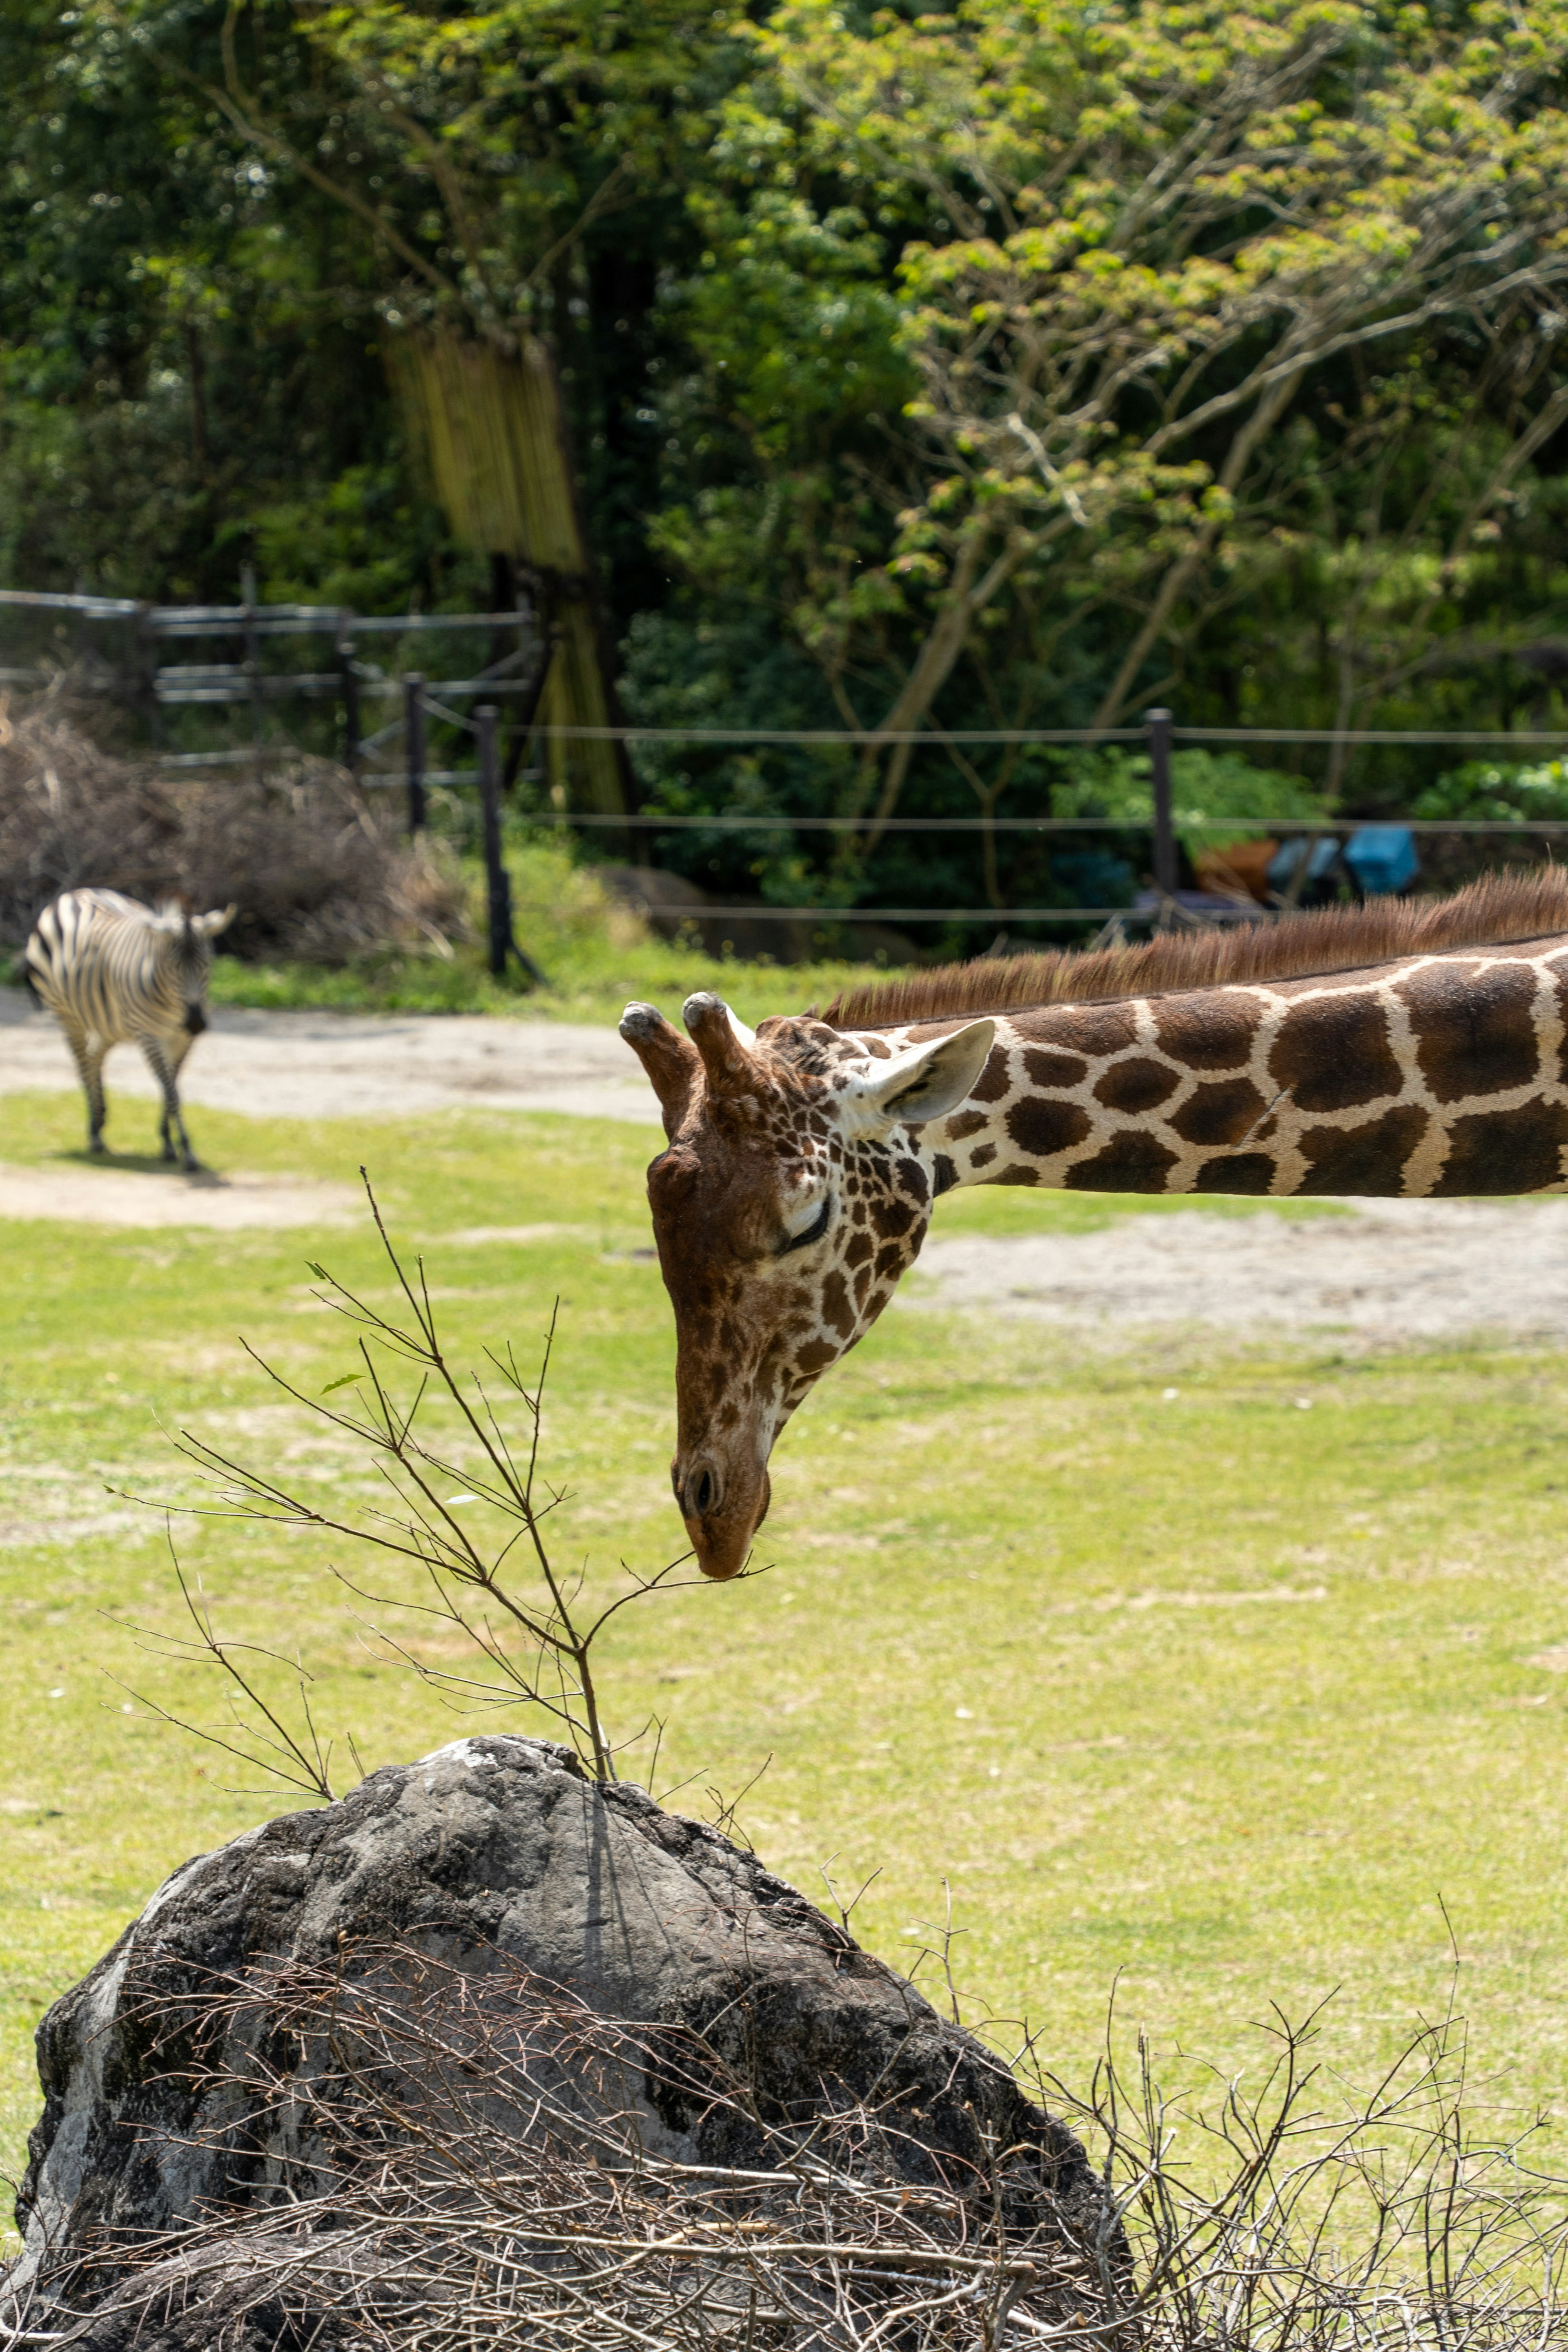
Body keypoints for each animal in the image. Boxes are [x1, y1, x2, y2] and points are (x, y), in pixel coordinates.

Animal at [24, 884, 235, 1171]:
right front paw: (187, 1150)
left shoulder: (181, 1039)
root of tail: (76, 893)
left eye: (207, 964)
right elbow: (172, 1092)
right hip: (67, 1015)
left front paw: (167, 1142)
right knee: (83, 1063)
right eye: (173, 967)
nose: (195, 1023)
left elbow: (171, 1087)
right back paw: (94, 1134)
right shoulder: (149, 1036)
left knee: (95, 1058)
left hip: (113, 1023)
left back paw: (99, 1121)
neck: (173, 1004)